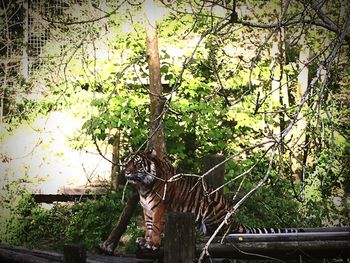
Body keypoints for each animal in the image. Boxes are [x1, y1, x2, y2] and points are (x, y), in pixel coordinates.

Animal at [123, 150, 300, 251]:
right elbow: (148, 226)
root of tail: (235, 220)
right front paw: (144, 240)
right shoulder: (147, 209)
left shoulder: (160, 208)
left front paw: (153, 243)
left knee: (218, 232)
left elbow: (156, 226)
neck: (143, 186)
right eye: (127, 162)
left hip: (210, 207)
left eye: (137, 163)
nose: (126, 172)